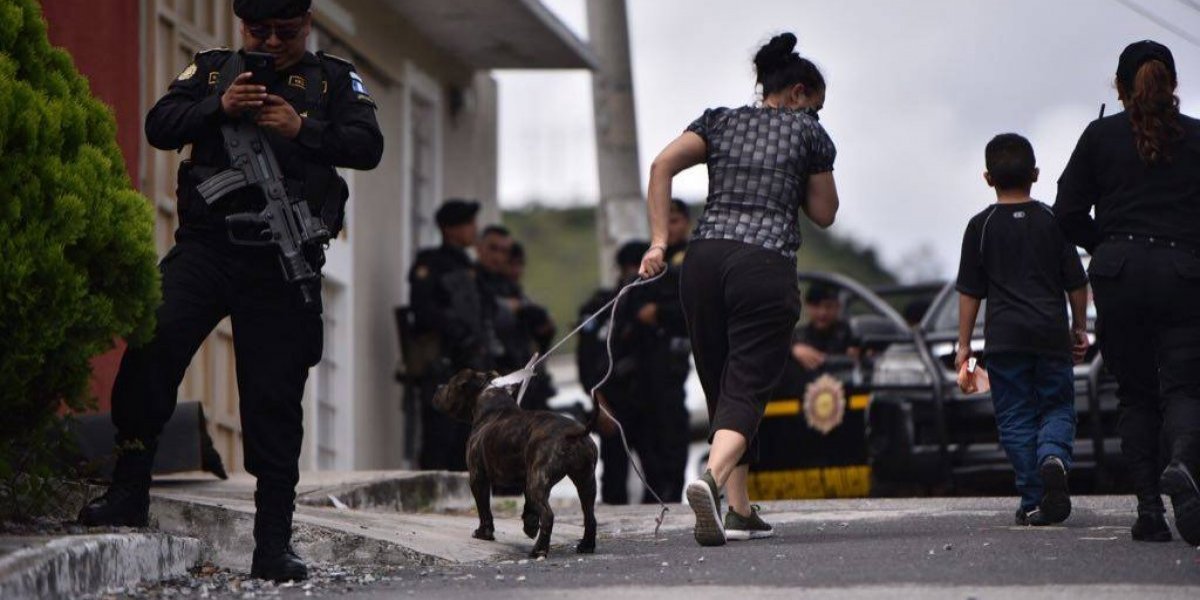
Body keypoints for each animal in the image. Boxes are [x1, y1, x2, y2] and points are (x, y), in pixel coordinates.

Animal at [432, 367, 600, 559]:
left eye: (450, 384)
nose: (438, 386)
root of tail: (573, 433)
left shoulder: (477, 477)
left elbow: (484, 509)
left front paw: (483, 533)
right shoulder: (527, 477)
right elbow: (529, 506)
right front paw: (530, 526)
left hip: (539, 481)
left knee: (548, 516)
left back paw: (538, 550)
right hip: (584, 481)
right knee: (589, 515)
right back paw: (586, 545)